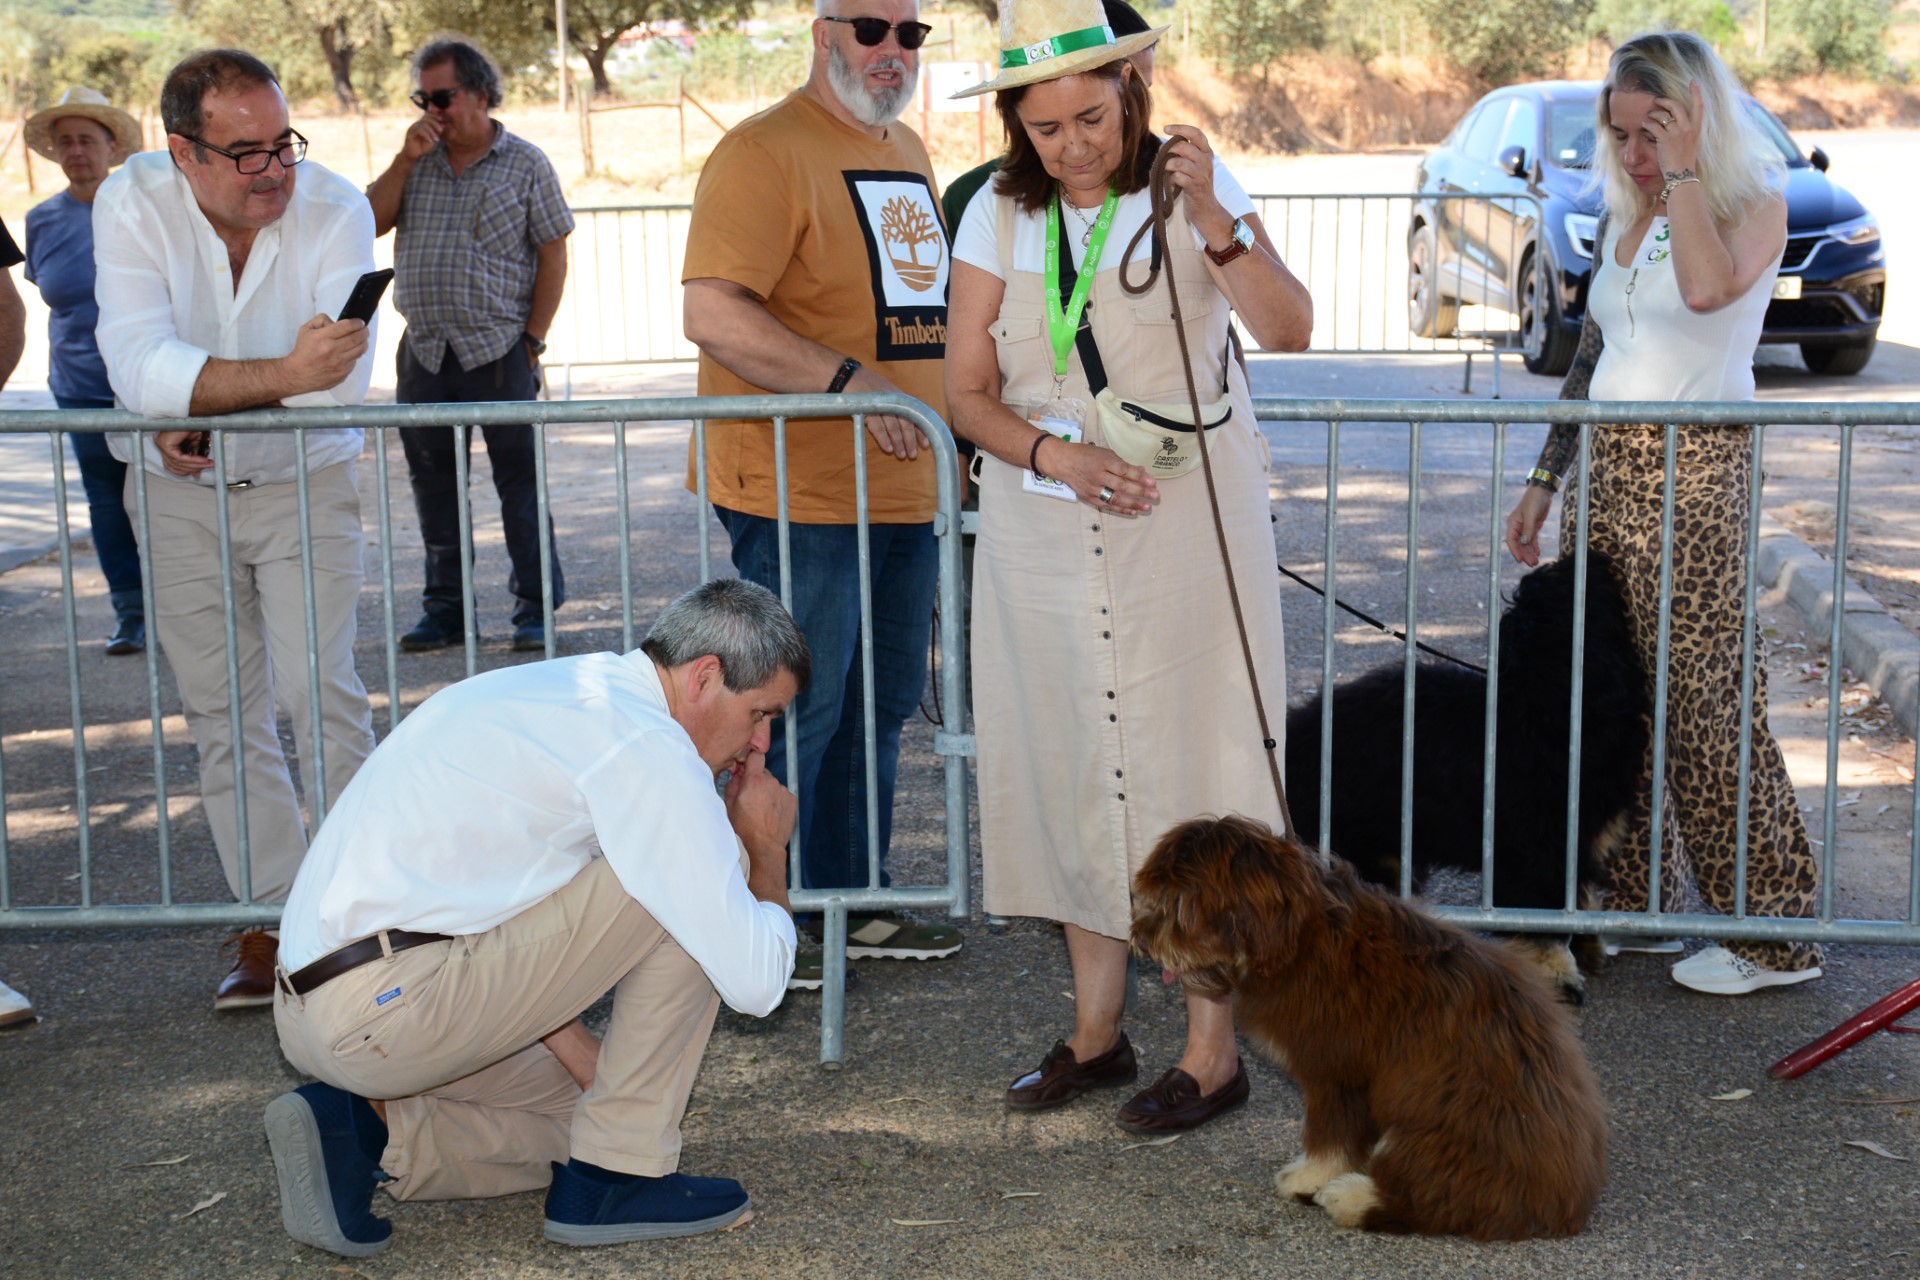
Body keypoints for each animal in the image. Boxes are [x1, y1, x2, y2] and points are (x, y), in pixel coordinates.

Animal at [1128, 817, 1612, 1235]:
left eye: (1179, 902)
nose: (1140, 938)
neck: (1299, 939)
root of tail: (1565, 1201)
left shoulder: (1336, 1073)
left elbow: (1330, 1135)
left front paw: (1308, 1177)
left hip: (1439, 1127)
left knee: (1442, 1197)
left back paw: (1351, 1197)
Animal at [1282, 552, 1643, 997]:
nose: (1587, 556)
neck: (1547, 704)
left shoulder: (1581, 838)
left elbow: (1581, 899)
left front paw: (1590, 946)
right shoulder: (1536, 850)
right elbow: (1544, 920)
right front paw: (1559, 975)